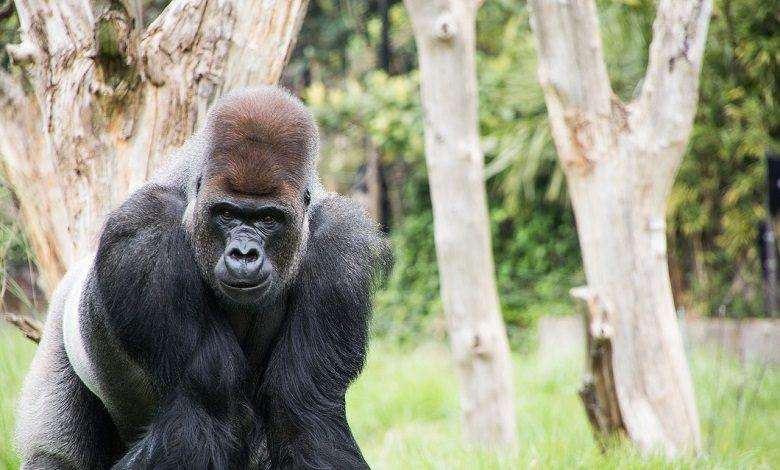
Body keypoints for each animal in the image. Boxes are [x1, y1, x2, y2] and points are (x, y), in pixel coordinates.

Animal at [15, 86, 388, 469]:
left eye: (269, 219)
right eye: (226, 214)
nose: (244, 254)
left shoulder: (341, 251)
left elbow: (306, 412)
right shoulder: (145, 233)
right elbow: (204, 411)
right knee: (56, 452)